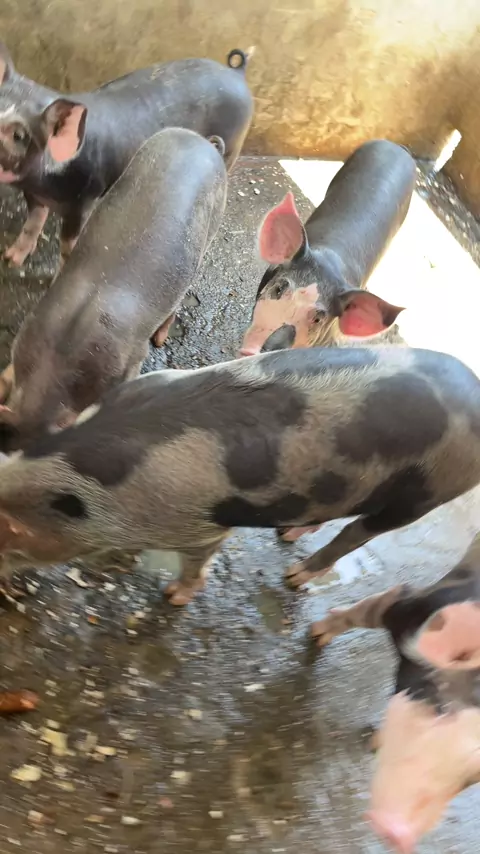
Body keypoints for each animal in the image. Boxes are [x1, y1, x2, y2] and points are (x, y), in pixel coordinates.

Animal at [0, 42, 253, 266]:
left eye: (19, 135)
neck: (46, 186)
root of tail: (237, 73)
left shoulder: (85, 198)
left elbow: (67, 246)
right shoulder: (33, 193)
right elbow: (32, 223)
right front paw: (10, 260)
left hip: (233, 145)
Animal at [0, 346, 478, 607]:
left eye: (8, 546)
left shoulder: (200, 528)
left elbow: (197, 562)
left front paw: (173, 597)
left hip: (431, 489)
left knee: (360, 533)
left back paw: (296, 577)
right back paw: (289, 533)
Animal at [312, 533, 480, 852]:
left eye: (476, 772)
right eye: (438, 706)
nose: (397, 832)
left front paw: (374, 742)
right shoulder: (407, 602)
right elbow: (365, 612)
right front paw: (316, 636)